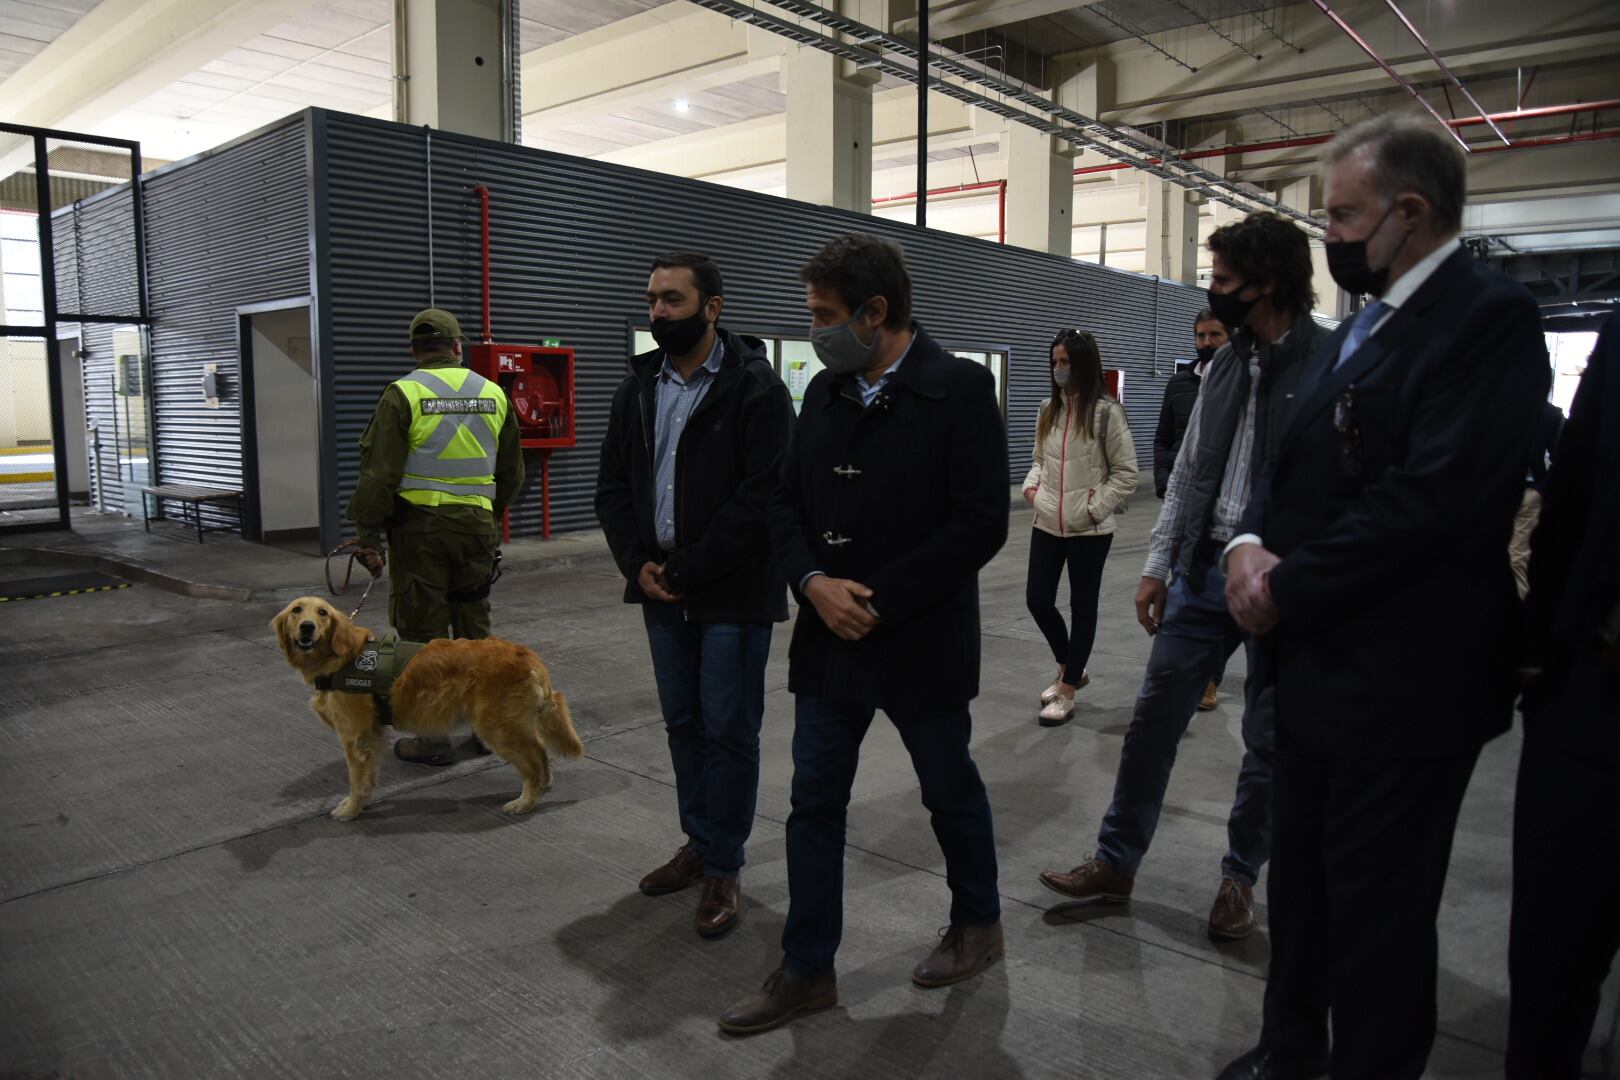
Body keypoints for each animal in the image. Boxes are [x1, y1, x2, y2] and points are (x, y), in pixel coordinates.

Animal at [272, 599, 583, 819]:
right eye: (297, 610)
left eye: (322, 612)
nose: (307, 627)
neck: (340, 659)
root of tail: (528, 655)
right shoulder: (371, 736)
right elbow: (368, 778)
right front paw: (361, 803)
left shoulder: (356, 738)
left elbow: (356, 780)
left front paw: (350, 810)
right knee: (541, 752)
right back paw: (543, 785)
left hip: (497, 729)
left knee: (532, 764)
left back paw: (525, 802)